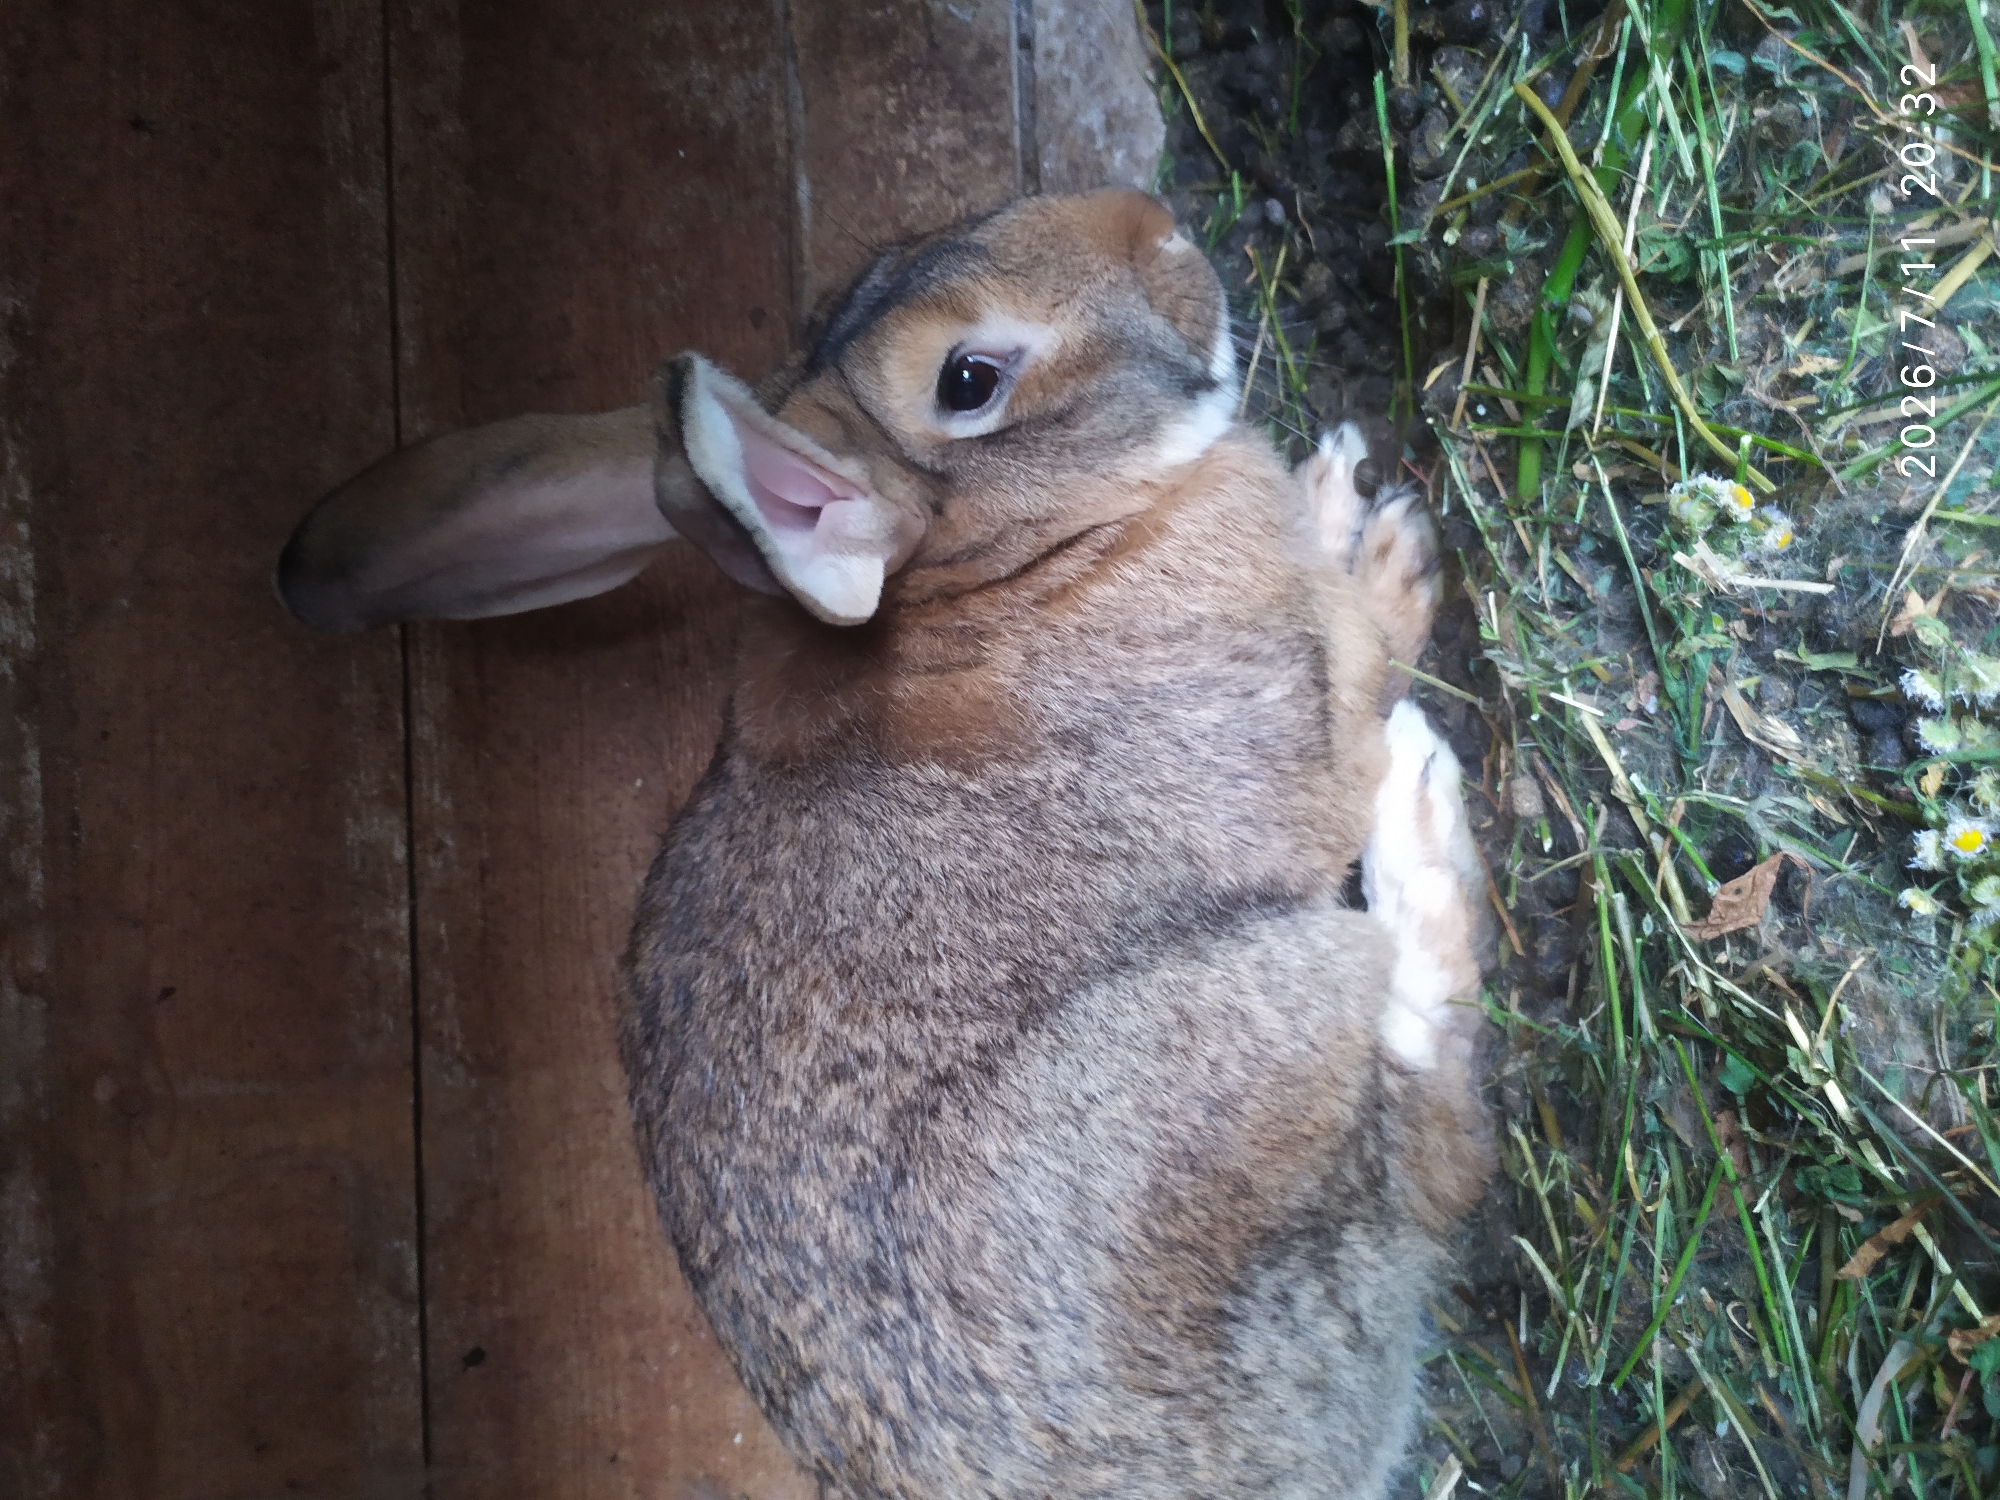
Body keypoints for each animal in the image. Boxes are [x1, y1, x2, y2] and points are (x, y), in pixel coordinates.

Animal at [278, 188, 1492, 1500]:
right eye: (968, 379)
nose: (1159, 224)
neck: (1018, 552)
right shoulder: (1308, 716)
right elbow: (1367, 666)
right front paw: (1371, 547)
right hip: (1273, 1015)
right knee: (1437, 1130)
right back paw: (1420, 792)